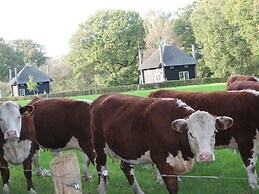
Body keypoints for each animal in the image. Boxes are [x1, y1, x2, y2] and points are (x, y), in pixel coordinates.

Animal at [91, 93, 234, 193]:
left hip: (126, 149)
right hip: (99, 147)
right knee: (101, 168)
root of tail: (102, 97)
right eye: (191, 134)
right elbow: (173, 187)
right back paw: (101, 190)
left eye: (214, 132)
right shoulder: (161, 160)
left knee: (126, 168)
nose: (206, 156)